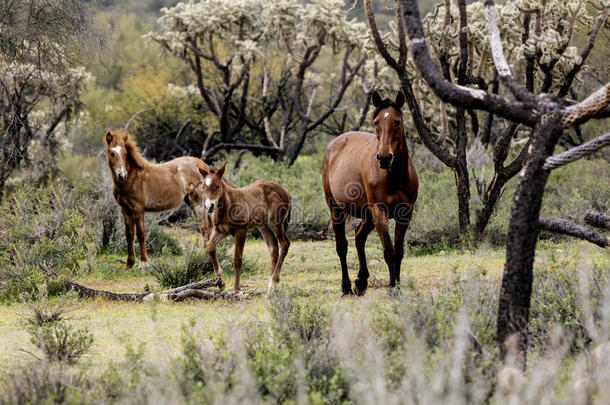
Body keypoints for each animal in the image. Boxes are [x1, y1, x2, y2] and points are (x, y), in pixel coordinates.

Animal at [103, 129, 210, 268]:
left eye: (125, 153)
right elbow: (129, 234)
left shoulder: (138, 209)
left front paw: (143, 263)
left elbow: (141, 233)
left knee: (205, 228)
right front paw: (129, 264)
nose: (122, 175)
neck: (132, 178)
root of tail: (202, 165)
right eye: (112, 153)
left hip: (198, 203)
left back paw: (206, 259)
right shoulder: (125, 210)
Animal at [196, 163, 288, 292]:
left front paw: (236, 288)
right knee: (273, 250)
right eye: (203, 187)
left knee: (284, 244)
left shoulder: (241, 231)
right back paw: (271, 286)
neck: (228, 205)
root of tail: (285, 192)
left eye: (218, 186)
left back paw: (273, 282)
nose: (209, 206)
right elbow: (210, 246)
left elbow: (237, 260)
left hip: (275, 223)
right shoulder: (220, 230)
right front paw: (221, 283)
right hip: (264, 227)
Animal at [320, 90, 416, 294]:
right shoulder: (379, 210)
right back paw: (347, 287)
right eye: (376, 122)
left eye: (397, 121)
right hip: (336, 209)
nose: (384, 158)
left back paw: (361, 281)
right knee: (342, 246)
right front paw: (392, 288)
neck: (394, 176)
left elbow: (399, 251)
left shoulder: (405, 213)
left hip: (367, 215)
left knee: (359, 237)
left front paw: (397, 286)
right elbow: (389, 251)